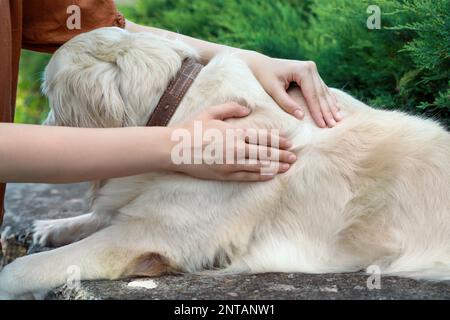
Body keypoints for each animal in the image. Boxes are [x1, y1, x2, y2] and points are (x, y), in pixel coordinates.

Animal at [0, 26, 450, 298]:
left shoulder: (147, 237)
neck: (180, 106)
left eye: (48, 95)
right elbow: (98, 217)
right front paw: (52, 226)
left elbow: (35, 265)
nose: (44, 128)